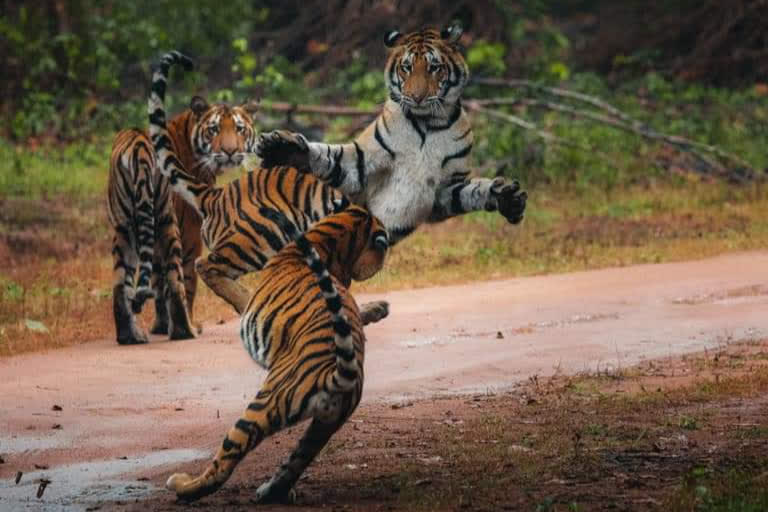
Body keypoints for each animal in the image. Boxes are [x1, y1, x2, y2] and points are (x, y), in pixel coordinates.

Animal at [164, 205, 388, 504]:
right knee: (296, 461)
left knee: (224, 463)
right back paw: (271, 491)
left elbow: (232, 288)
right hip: (324, 426)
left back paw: (182, 485)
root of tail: (337, 375)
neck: (328, 238)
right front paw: (379, 308)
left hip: (264, 405)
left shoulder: (251, 298)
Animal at [258, 23, 528, 246]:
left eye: (434, 68)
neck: (427, 125)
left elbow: (472, 192)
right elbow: (330, 157)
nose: (417, 97)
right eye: (406, 68)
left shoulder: (446, 189)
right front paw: (284, 149)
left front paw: (508, 198)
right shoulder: (362, 163)